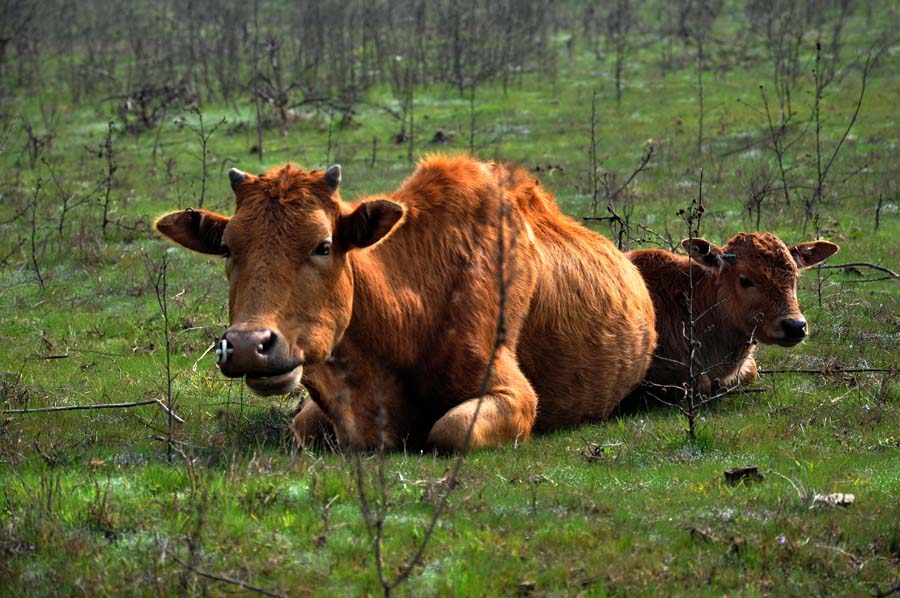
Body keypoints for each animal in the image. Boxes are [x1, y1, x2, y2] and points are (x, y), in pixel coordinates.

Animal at [151, 157, 652, 452]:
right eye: (228, 248)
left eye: (323, 245)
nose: (248, 345)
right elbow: (302, 428)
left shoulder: (514, 396)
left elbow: (448, 432)